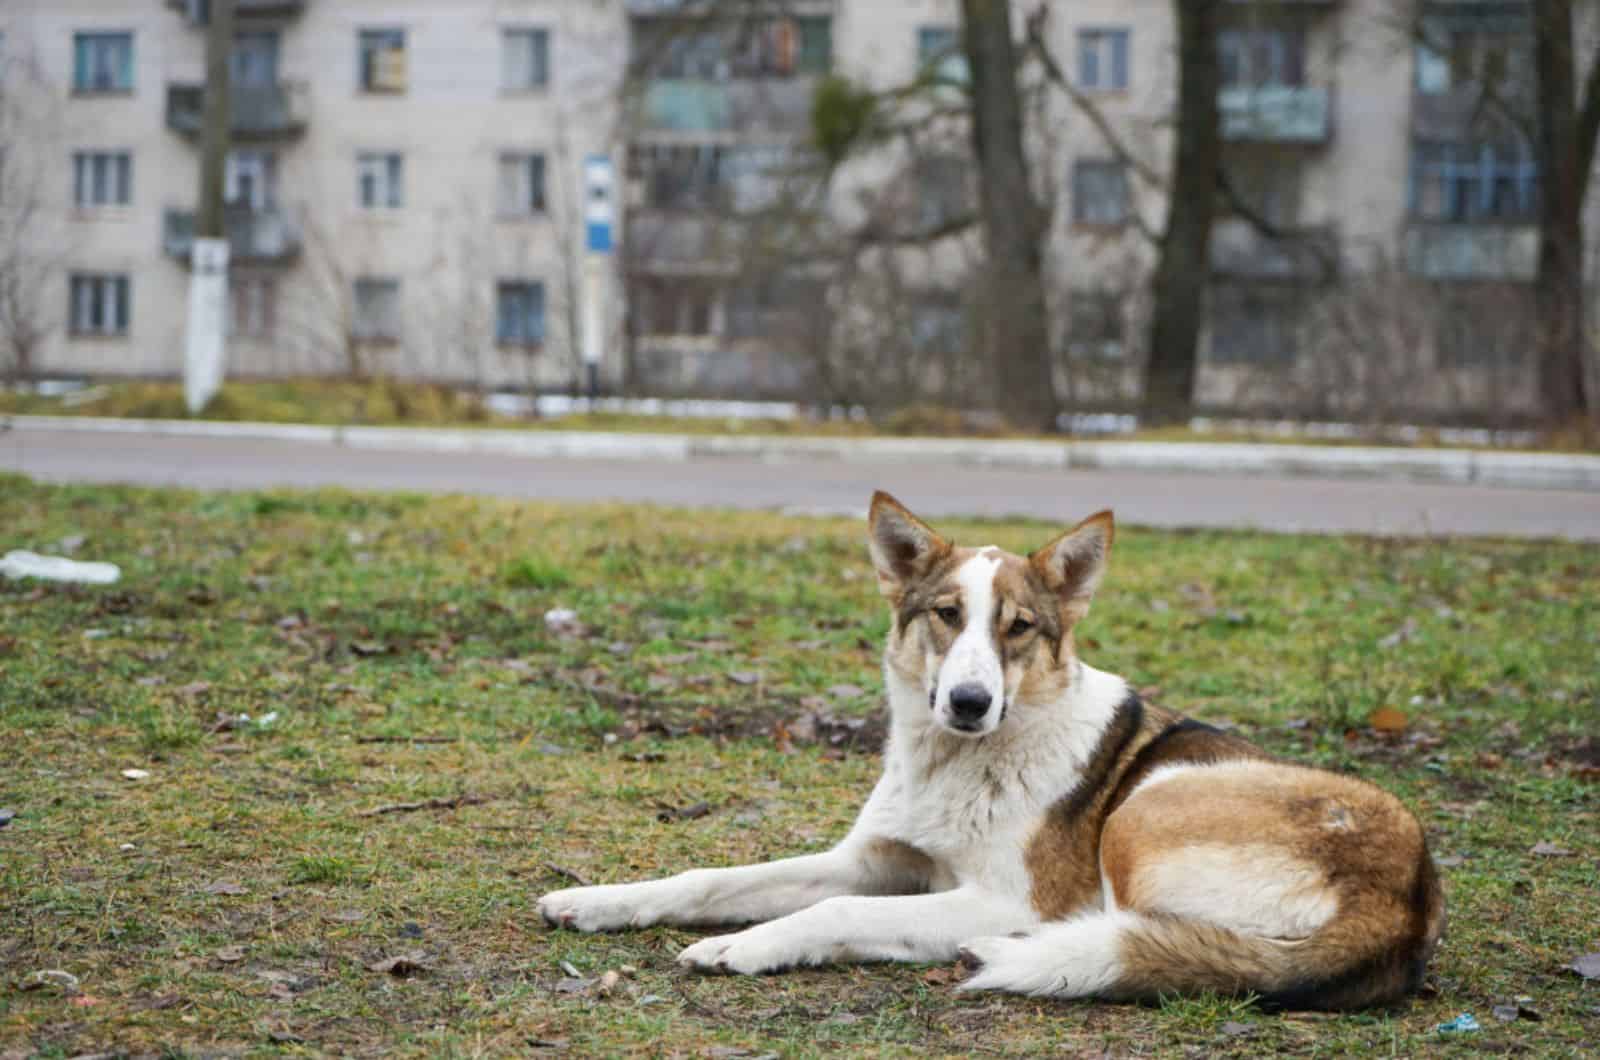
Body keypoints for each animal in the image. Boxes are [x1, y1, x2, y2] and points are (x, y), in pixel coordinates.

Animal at [540, 493, 1452, 1011]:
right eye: (946, 614)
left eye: (1018, 627)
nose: (969, 702)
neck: (955, 763)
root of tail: (1407, 899)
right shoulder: (872, 860)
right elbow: (712, 879)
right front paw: (596, 900)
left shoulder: (1004, 896)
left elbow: (833, 913)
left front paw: (742, 946)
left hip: (1144, 810)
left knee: (1129, 935)